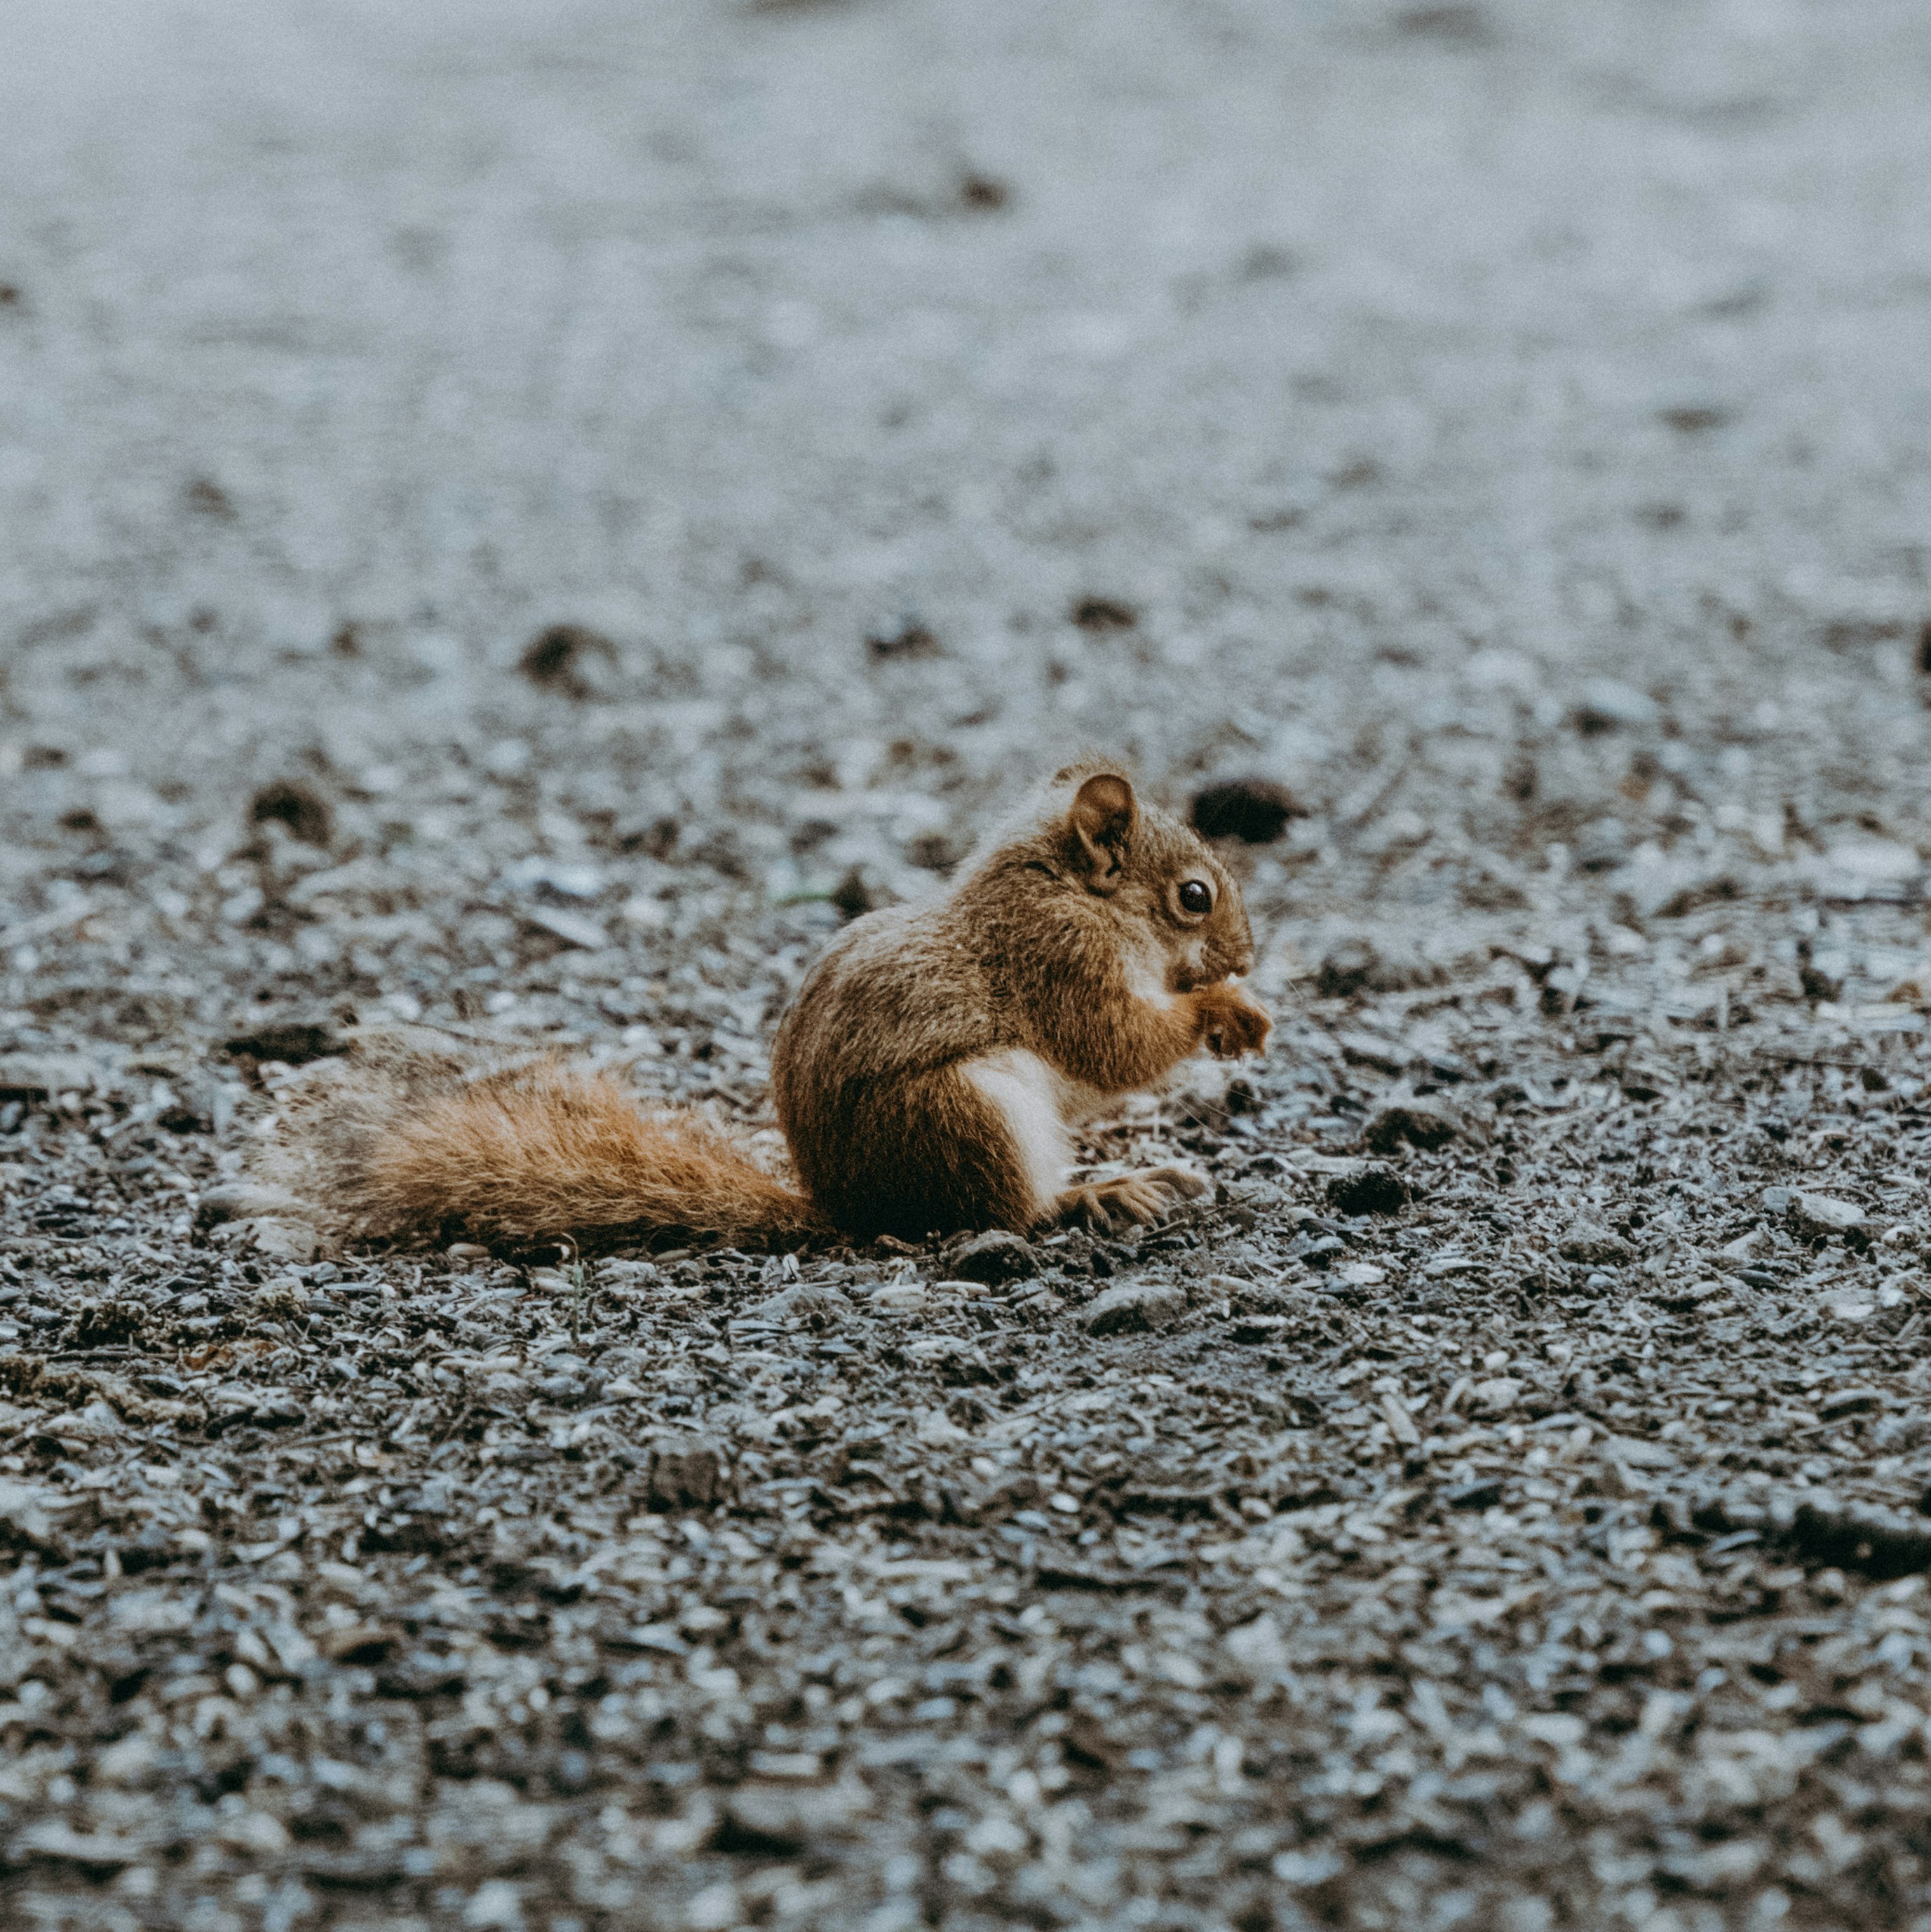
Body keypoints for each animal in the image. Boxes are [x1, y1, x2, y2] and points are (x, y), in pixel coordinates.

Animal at [249, 762, 1272, 1252]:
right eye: (1193, 895)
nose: (1247, 954)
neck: (1074, 895)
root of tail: (849, 1209)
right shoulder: (1057, 959)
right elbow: (1112, 1046)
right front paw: (1225, 1009)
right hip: (964, 1115)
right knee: (1004, 1214)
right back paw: (1094, 1194)